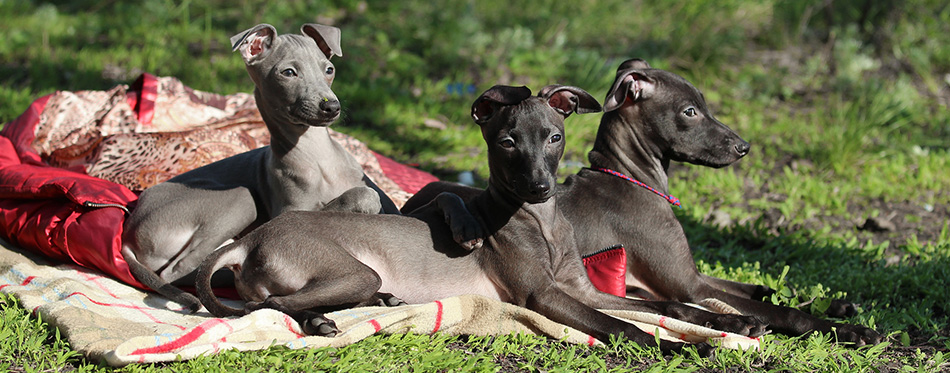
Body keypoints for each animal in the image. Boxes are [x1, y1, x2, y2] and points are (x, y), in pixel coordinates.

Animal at [122, 24, 398, 310]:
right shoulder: (287, 214)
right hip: (240, 198)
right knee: (178, 271)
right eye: (288, 72)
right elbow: (361, 195)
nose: (331, 106)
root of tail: (130, 227)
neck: (318, 157)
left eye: (329, 69)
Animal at [197, 85, 768, 354]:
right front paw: (669, 346)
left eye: (555, 137)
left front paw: (732, 321)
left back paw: (368, 307)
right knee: (271, 305)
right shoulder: (544, 297)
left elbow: (668, 304)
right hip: (353, 268)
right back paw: (322, 319)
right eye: (507, 142)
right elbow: (621, 324)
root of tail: (250, 241)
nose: (540, 187)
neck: (542, 225)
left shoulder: (581, 289)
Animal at [404, 58, 884, 346]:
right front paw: (848, 328)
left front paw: (836, 303)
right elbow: (771, 308)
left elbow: (759, 289)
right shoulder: (687, 284)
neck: (632, 179)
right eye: (690, 111)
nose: (743, 147)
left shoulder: (689, 278)